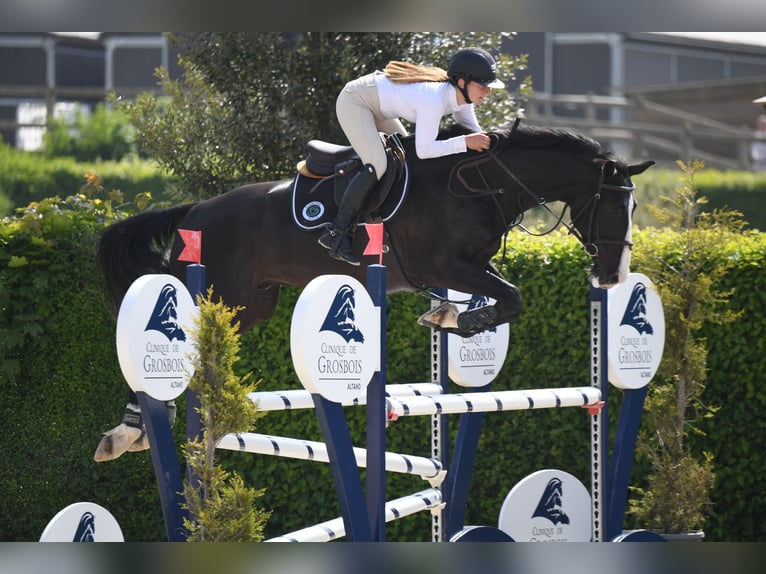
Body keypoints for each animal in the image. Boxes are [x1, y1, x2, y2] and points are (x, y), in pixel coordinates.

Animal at [93, 124, 656, 462]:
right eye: (613, 206)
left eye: (632, 208)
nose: (613, 277)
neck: (477, 183)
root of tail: (194, 211)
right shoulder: (444, 264)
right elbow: (513, 296)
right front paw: (456, 319)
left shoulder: (470, 265)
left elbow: (503, 297)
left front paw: (448, 316)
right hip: (218, 292)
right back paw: (129, 432)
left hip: (250, 304)